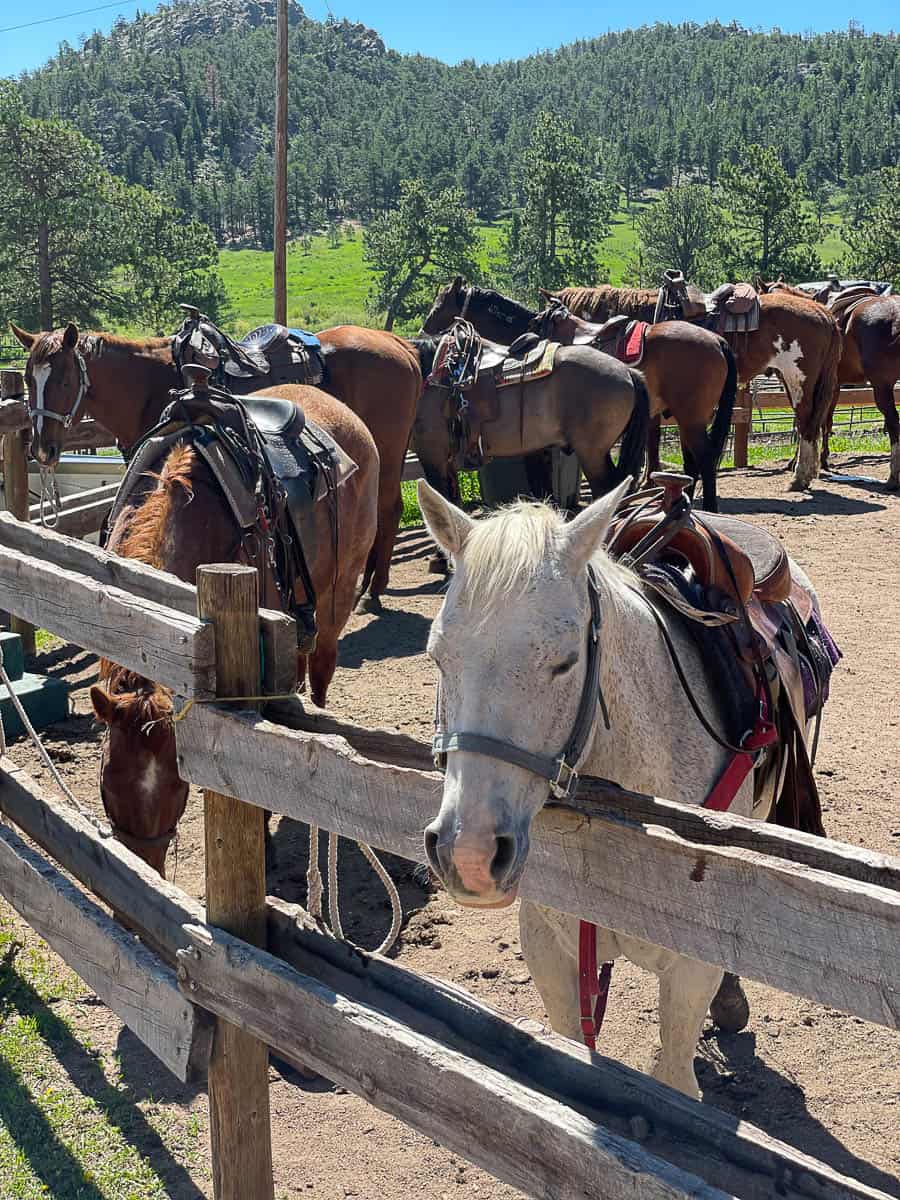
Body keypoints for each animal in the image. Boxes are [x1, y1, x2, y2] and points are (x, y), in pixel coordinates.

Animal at [13, 321, 422, 609]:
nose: (43, 449)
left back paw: (371, 591)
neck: (150, 385)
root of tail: (398, 344)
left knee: (389, 509)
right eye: (28, 379)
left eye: (64, 379)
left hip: (387, 452)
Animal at [556, 285, 844, 492]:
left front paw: (648, 479)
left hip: (799, 380)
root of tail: (824, 314)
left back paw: (799, 478)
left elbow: (652, 438)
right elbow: (653, 437)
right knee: (809, 423)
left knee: (806, 423)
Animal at [763, 280, 900, 487]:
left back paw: (893, 476)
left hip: (882, 386)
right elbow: (825, 421)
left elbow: (804, 420)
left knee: (893, 423)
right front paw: (822, 459)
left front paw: (797, 462)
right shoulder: (834, 386)